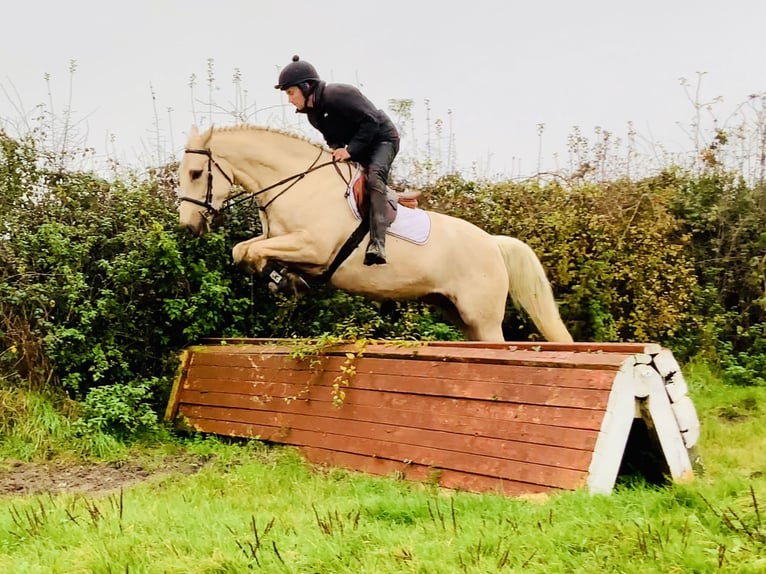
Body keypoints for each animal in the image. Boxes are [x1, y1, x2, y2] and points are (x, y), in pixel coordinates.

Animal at [177, 125, 573, 342]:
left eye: (196, 173)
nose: (188, 226)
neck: (299, 184)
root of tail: (493, 242)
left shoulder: (314, 248)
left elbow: (252, 253)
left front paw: (287, 281)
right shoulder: (278, 238)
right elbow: (243, 250)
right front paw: (283, 279)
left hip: (483, 316)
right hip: (459, 313)